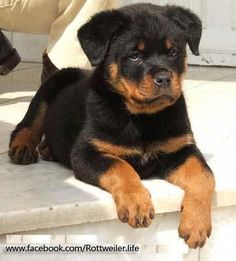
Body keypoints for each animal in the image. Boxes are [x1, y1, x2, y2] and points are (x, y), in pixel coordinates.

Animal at [8, 3, 216, 248]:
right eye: (134, 56)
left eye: (174, 52)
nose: (165, 78)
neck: (142, 117)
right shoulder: (87, 153)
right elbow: (120, 167)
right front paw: (137, 203)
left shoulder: (181, 149)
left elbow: (204, 175)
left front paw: (196, 225)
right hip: (48, 89)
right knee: (26, 125)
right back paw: (23, 148)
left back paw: (47, 149)